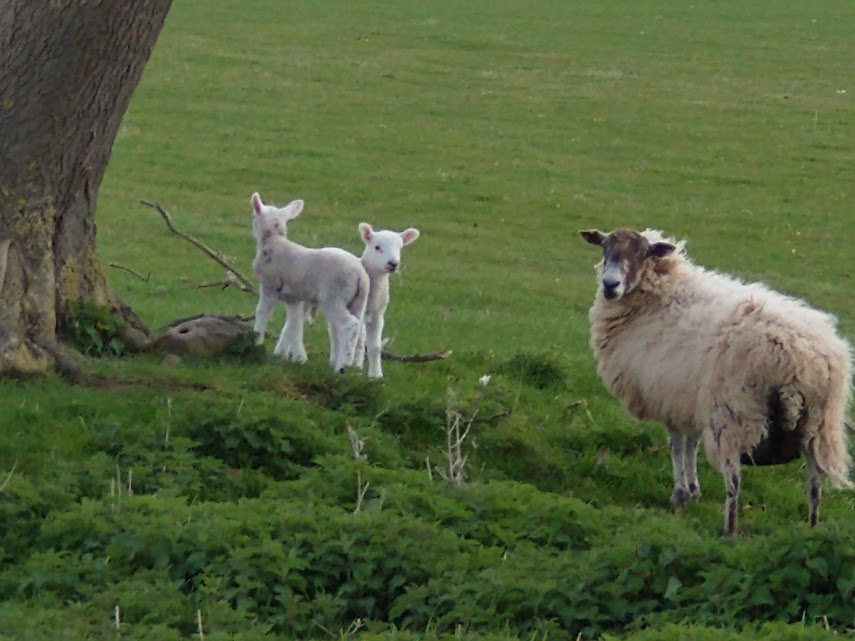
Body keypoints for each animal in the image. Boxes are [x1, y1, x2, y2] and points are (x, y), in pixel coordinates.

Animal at [250, 192, 369, 373]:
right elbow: (295, 323)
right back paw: (349, 363)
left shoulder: (269, 286)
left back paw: (341, 367)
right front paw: (299, 357)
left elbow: (262, 313)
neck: (273, 241)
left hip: (333, 297)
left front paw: (256, 343)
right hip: (358, 301)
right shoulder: (293, 298)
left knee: (349, 325)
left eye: (253, 216)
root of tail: (360, 275)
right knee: (359, 328)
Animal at [349, 223, 420, 378]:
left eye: (400, 248)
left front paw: (376, 375)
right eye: (377, 247)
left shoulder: (378, 314)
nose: (393, 263)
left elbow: (375, 347)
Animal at [580, 227, 853, 535]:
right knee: (814, 483)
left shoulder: (670, 397)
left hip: (734, 413)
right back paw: (812, 527)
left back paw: (729, 530)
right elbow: (692, 443)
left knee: (734, 480)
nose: (610, 285)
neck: (659, 295)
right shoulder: (690, 399)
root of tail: (800, 358)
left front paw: (680, 493)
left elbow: (676, 445)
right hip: (819, 423)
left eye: (642, 252)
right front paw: (693, 490)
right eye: (604, 247)